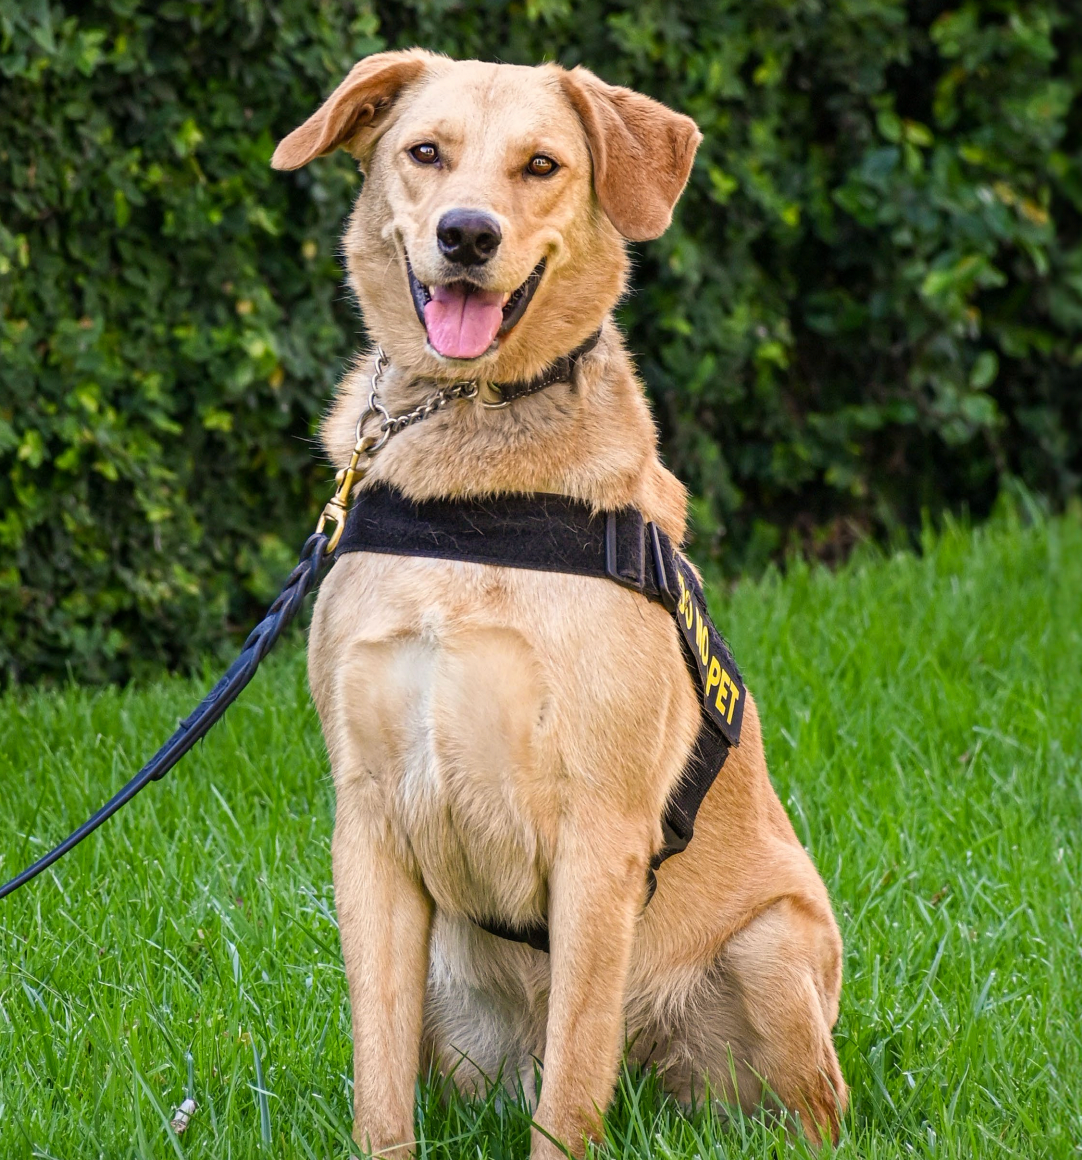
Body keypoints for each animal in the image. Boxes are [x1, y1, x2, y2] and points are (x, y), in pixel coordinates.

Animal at [274, 52, 848, 1160]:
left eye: (541, 165)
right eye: (425, 151)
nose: (467, 234)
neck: (473, 486)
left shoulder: (601, 834)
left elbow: (574, 1083)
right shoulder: (367, 825)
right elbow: (379, 1086)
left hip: (772, 946)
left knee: (808, 1110)